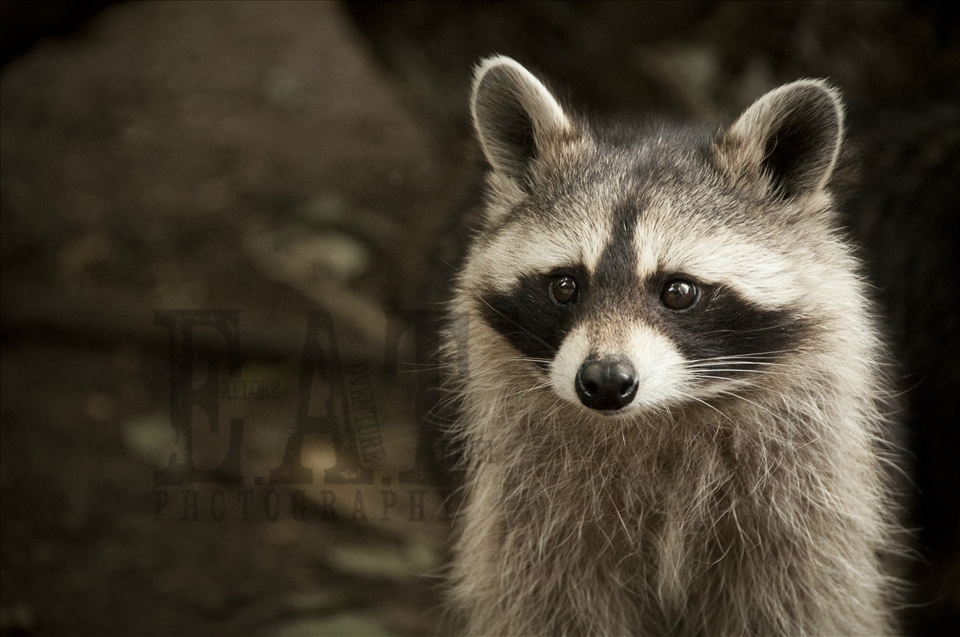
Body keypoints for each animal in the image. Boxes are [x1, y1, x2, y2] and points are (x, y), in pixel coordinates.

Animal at [444, 56, 906, 636]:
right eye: (566, 286)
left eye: (678, 291)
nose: (604, 382)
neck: (655, 418)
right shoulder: (532, 515)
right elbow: (547, 603)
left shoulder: (805, 504)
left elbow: (805, 598)